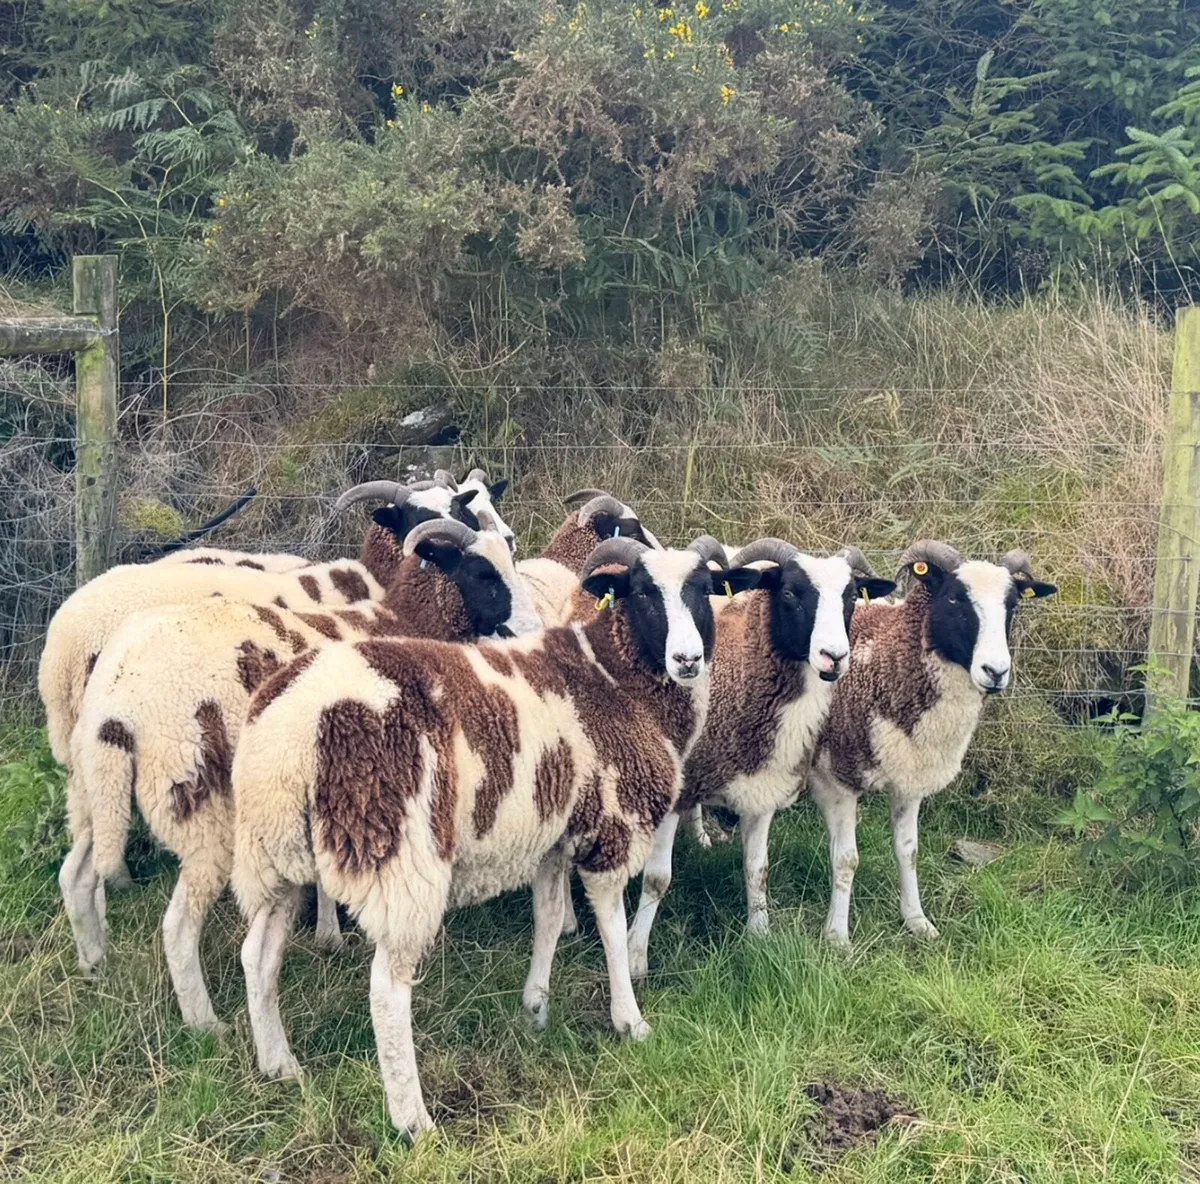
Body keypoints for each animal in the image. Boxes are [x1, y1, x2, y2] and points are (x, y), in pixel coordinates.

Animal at [59, 517, 540, 1033]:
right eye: (482, 572)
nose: (530, 630)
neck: (400, 621)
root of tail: (116, 709)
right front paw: (331, 934)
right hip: (197, 805)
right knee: (178, 926)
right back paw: (207, 1025)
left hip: (92, 790)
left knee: (77, 873)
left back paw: (94, 963)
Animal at [229, 536, 753, 1139]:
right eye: (643, 591)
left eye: (702, 590)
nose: (687, 660)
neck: (617, 678)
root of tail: (288, 729)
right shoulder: (611, 826)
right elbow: (613, 931)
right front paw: (630, 1020)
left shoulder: (553, 836)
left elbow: (548, 918)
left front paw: (535, 1010)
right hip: (398, 852)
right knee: (386, 988)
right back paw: (413, 1121)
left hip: (275, 853)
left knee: (258, 956)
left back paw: (278, 1064)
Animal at [626, 539, 897, 978]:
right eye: (788, 592)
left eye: (852, 596)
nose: (834, 657)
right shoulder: (674, 791)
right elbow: (657, 878)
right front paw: (635, 957)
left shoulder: (762, 786)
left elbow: (758, 869)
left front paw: (759, 935)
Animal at [808, 542, 1057, 946]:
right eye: (955, 598)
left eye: (1013, 604)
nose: (996, 672)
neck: (885, 662)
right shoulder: (835, 780)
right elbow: (846, 859)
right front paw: (837, 936)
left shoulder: (909, 776)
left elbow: (908, 852)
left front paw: (917, 921)